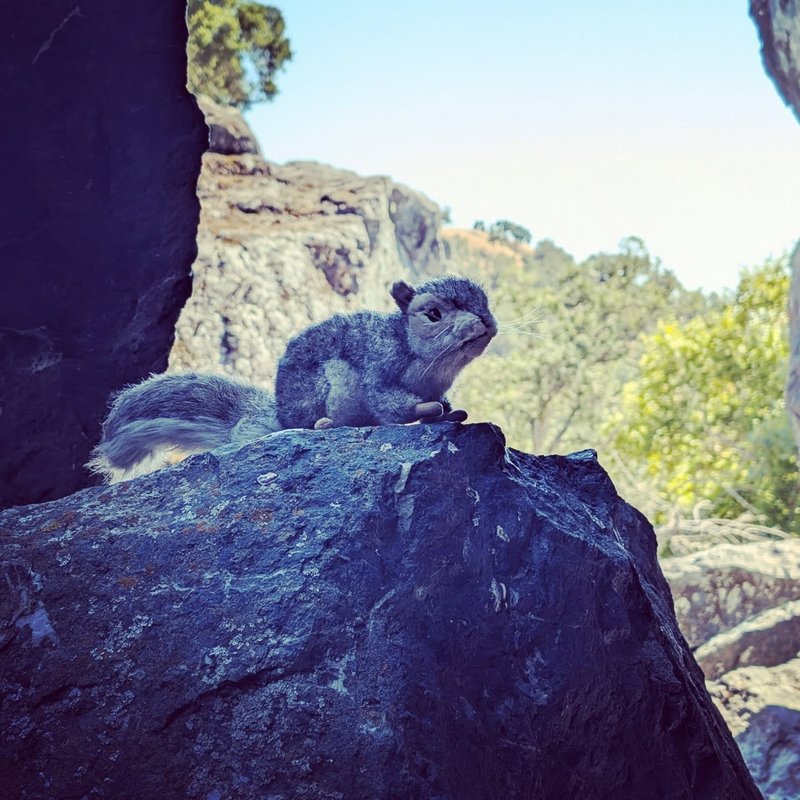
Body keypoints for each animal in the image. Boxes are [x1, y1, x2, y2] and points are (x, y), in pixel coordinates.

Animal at [88, 275, 497, 483]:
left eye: (485, 300)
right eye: (433, 314)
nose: (487, 322)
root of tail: (281, 417)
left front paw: (448, 411)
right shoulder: (378, 370)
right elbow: (392, 405)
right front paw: (426, 410)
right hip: (328, 389)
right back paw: (326, 424)